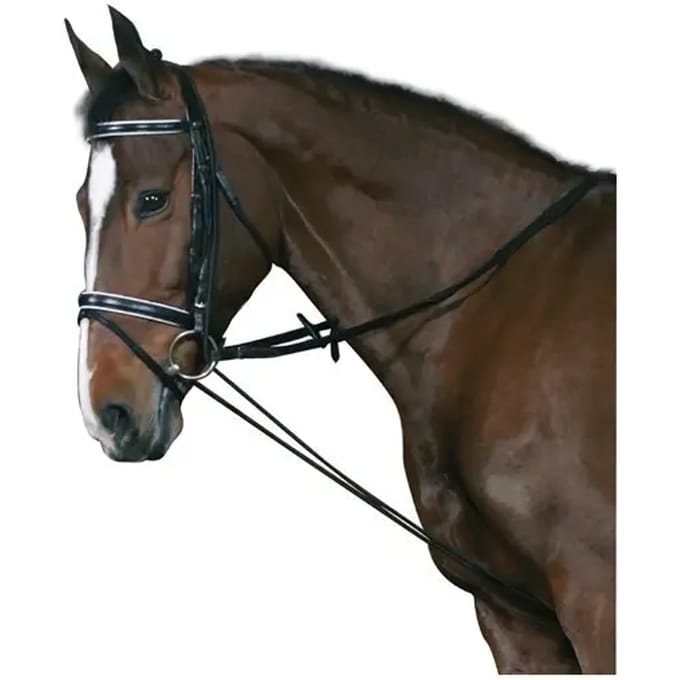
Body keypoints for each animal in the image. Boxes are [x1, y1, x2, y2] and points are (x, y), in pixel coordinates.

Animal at [66, 7, 615, 674]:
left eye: (152, 200)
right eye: (81, 205)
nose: (106, 411)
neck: (502, 308)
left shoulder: (598, 600)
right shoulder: (514, 619)